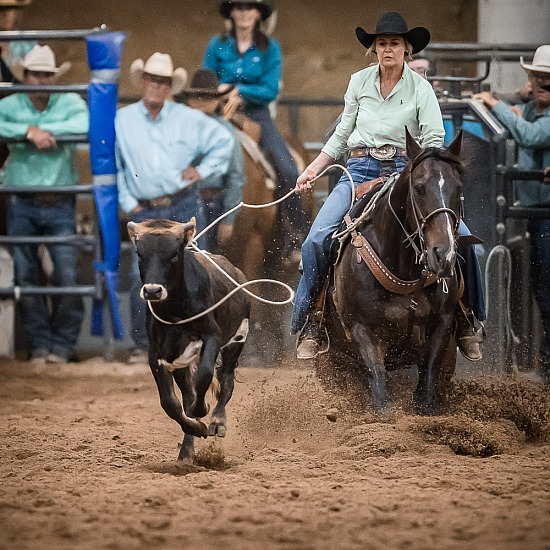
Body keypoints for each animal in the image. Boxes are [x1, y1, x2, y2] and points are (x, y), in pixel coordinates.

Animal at [324, 130, 466, 414]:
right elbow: (378, 385)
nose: (444, 255)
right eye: (418, 188)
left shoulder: (442, 325)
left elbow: (427, 383)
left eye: (458, 189)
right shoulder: (360, 327)